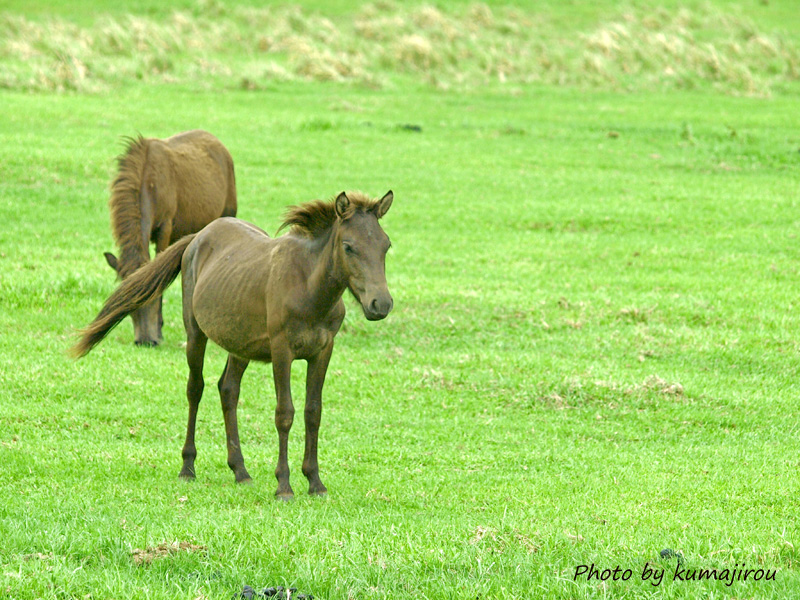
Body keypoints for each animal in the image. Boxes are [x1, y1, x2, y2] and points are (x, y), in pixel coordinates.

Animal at [73, 192, 392, 502]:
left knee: (228, 390)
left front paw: (315, 483)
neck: (308, 286)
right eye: (349, 247)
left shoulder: (323, 351)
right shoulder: (282, 351)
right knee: (195, 389)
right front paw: (284, 486)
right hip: (196, 334)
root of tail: (198, 236)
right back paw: (188, 467)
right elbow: (285, 413)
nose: (381, 304)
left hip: (240, 344)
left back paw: (240, 471)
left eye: (386, 245)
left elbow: (313, 413)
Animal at [104, 129, 234, 350]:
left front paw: (159, 330)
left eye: (151, 298)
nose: (145, 341)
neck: (149, 184)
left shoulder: (166, 225)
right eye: (127, 303)